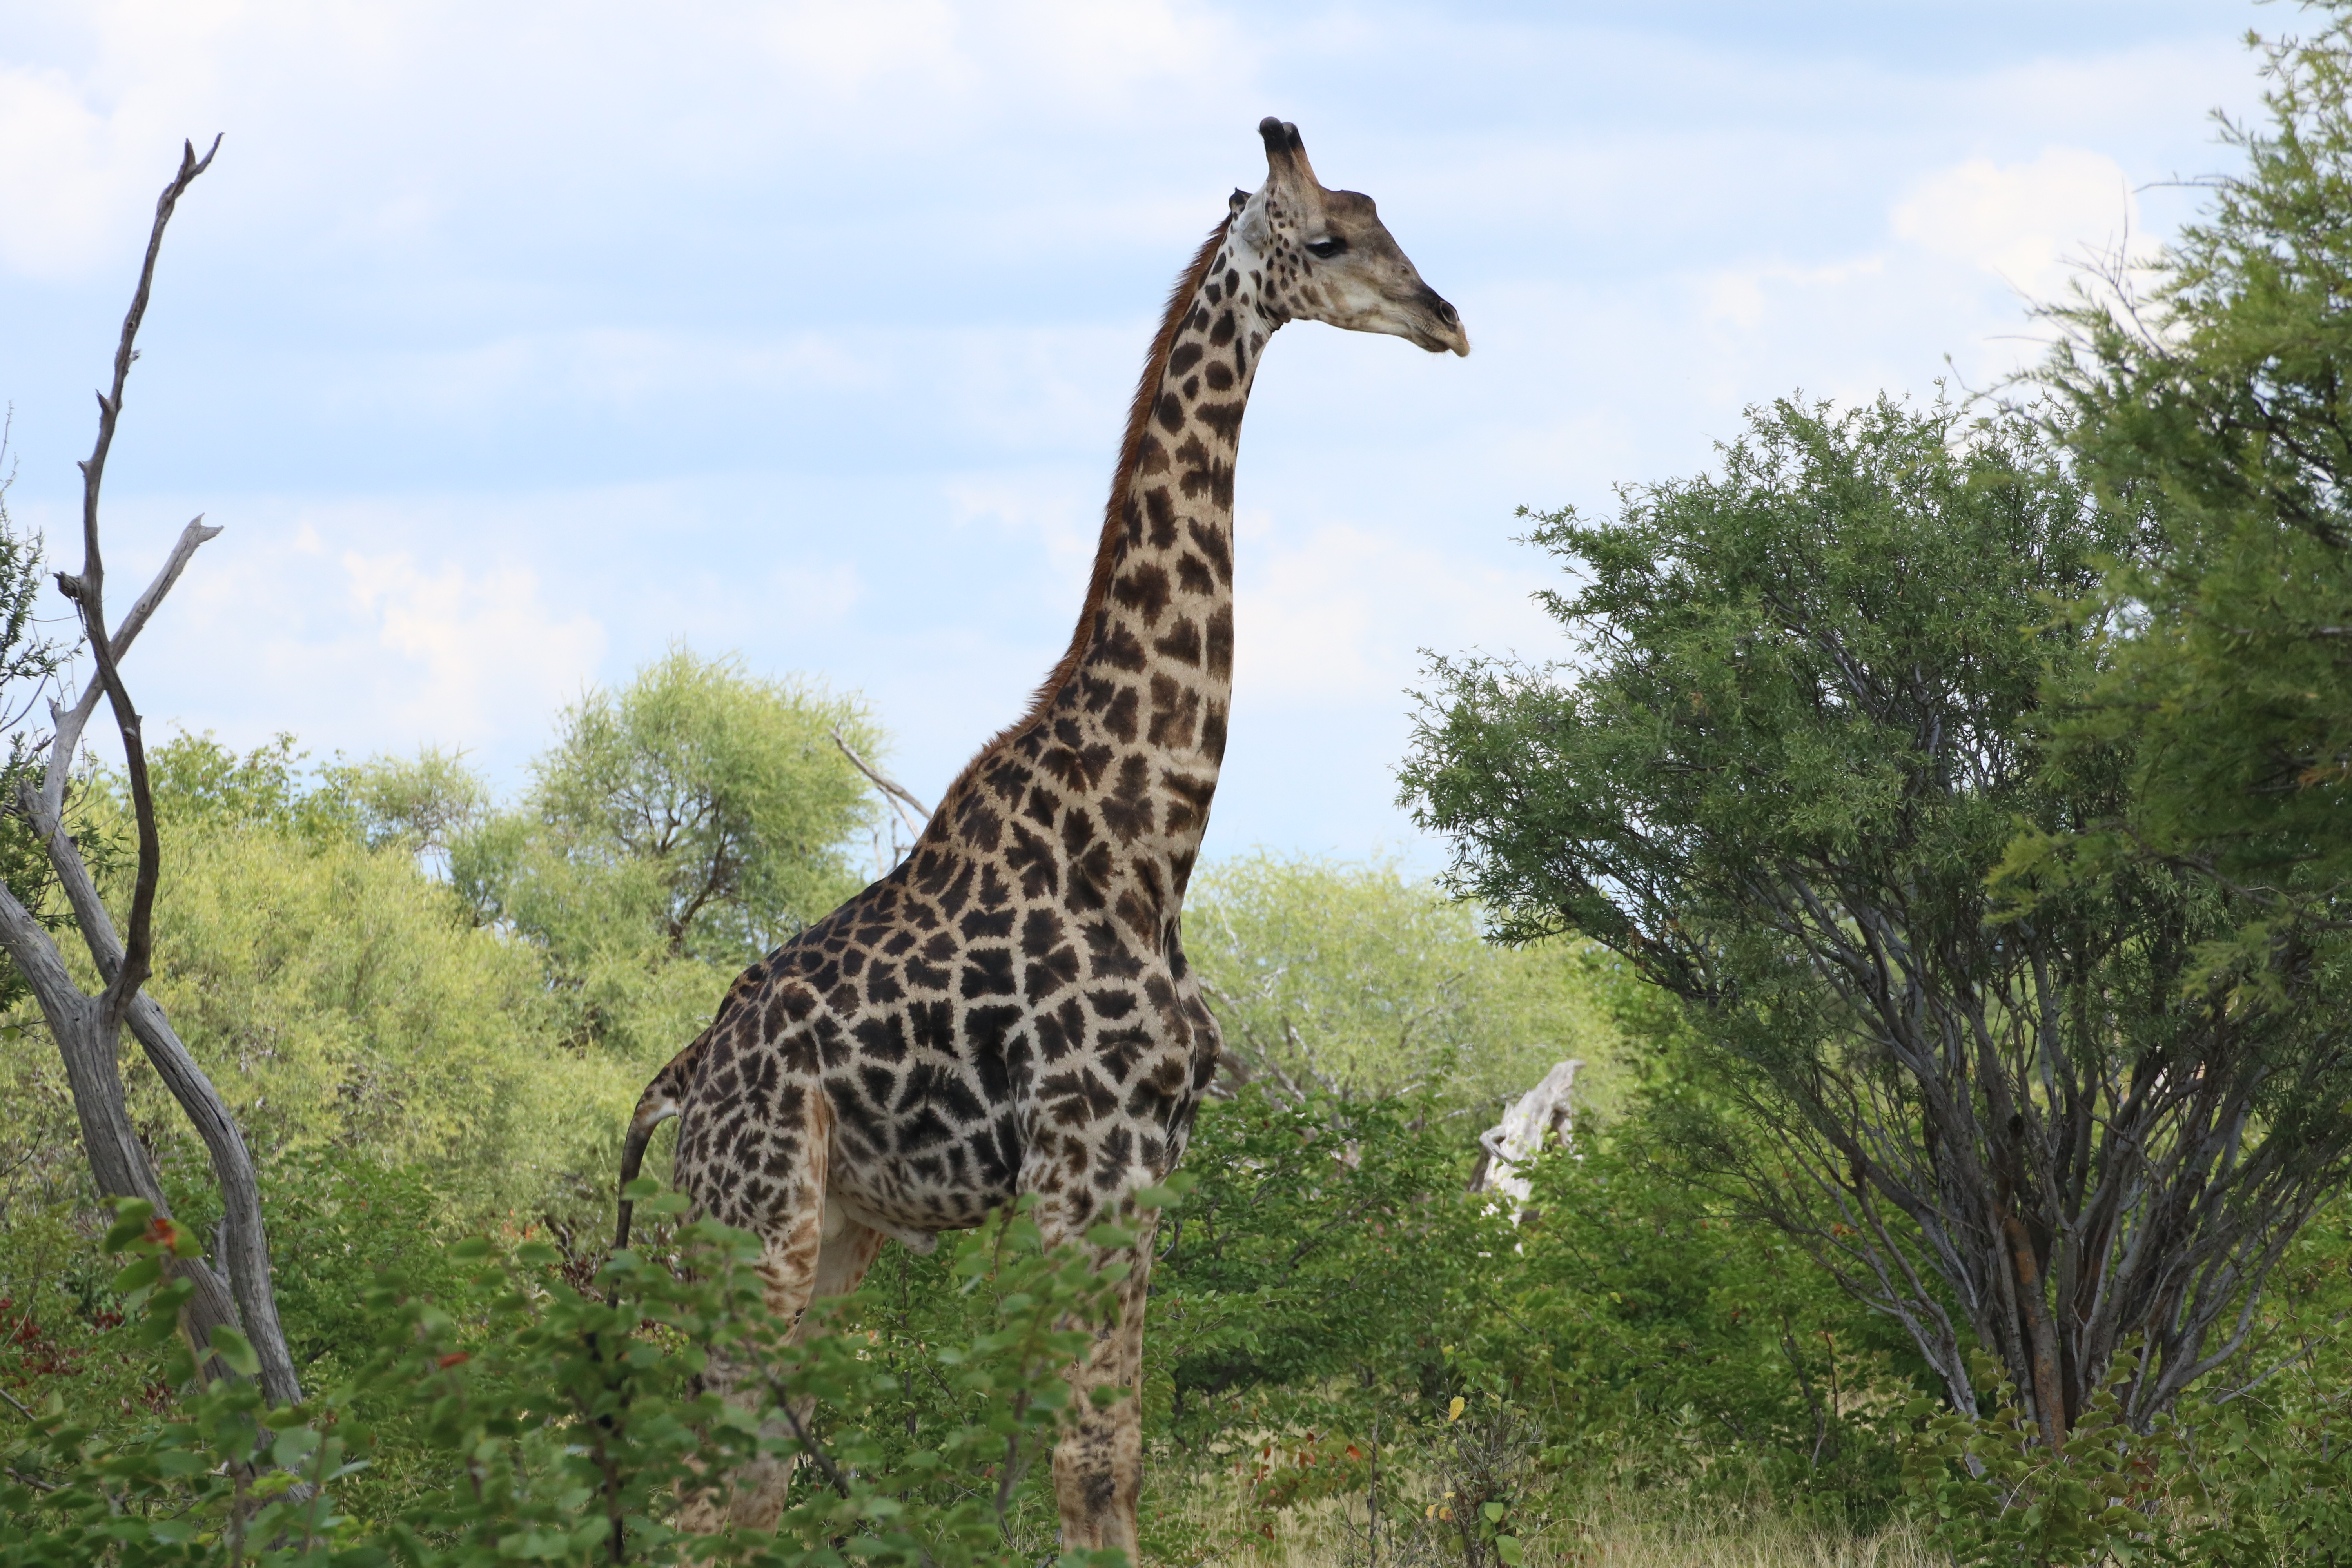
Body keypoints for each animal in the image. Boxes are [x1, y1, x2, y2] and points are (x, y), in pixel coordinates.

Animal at [617, 115, 1468, 1550]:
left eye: (1384, 220)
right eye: (1333, 237)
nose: (1445, 318)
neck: (1152, 833)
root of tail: (679, 1082)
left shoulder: (1152, 1160)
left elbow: (1115, 1453)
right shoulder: (1088, 1155)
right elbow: (1088, 1463)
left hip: (830, 1235)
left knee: (741, 1485)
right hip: (753, 1230)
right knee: (700, 1492)